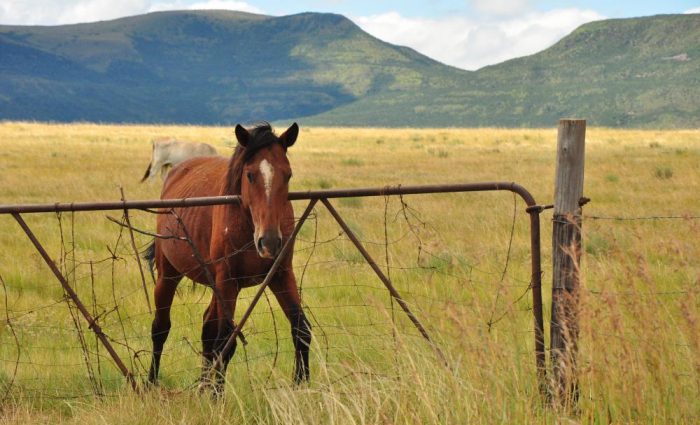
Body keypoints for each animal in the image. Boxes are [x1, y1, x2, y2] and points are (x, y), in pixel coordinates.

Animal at [146, 121, 310, 390]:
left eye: (288, 175)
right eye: (250, 175)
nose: (269, 242)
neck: (248, 224)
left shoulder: (281, 275)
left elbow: (301, 330)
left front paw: (302, 386)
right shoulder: (228, 282)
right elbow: (225, 342)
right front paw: (217, 395)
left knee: (207, 327)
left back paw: (202, 385)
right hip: (168, 275)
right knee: (161, 327)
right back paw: (151, 382)